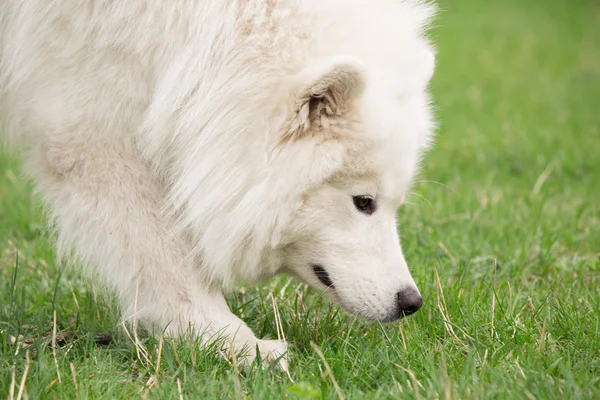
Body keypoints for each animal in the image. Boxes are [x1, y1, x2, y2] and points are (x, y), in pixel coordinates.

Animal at [0, 0, 436, 368]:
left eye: (393, 205)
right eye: (363, 201)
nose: (411, 302)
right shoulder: (91, 127)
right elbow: (162, 253)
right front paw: (232, 341)